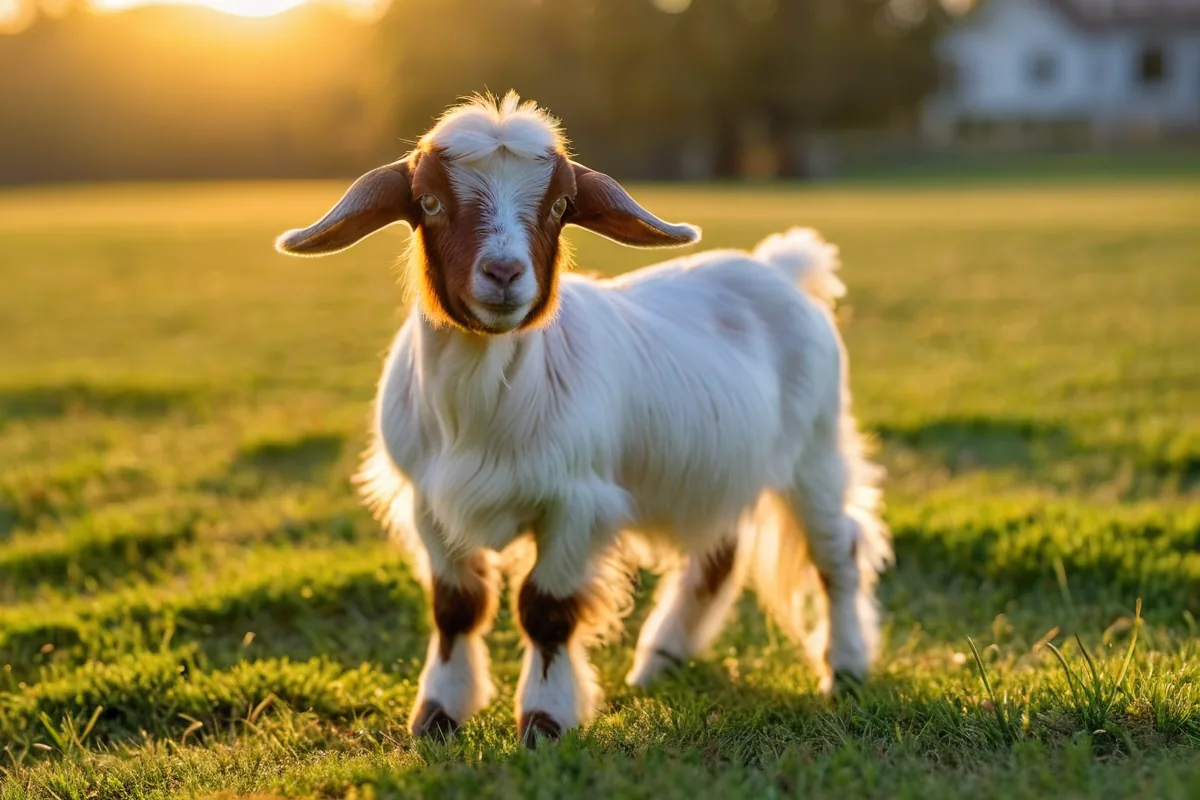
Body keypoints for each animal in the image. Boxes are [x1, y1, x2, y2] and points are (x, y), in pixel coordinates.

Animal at [276, 92, 891, 747]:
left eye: (559, 206)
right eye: (430, 202)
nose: (503, 273)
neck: (482, 405)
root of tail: (780, 268)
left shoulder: (576, 502)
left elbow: (545, 609)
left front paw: (545, 720)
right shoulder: (429, 502)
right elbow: (456, 606)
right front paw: (439, 714)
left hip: (816, 450)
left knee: (838, 551)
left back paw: (845, 666)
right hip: (717, 463)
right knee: (719, 553)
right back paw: (660, 660)